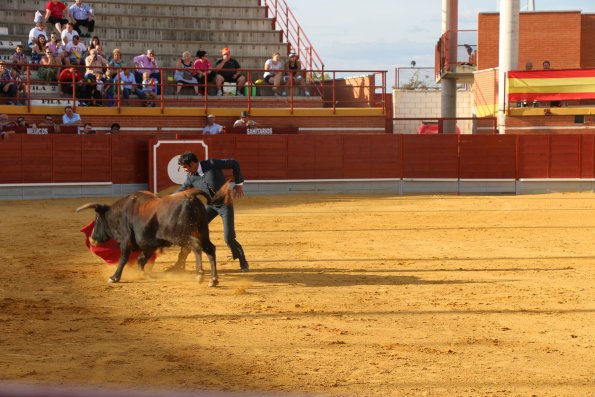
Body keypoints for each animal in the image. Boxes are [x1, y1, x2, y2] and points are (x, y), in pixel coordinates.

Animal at [74, 187, 224, 286]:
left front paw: (114, 277)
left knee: (196, 246)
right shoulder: (150, 243)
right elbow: (141, 259)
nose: (92, 239)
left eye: (97, 219)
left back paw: (200, 276)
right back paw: (213, 280)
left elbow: (124, 258)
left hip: (181, 236)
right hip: (202, 232)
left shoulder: (125, 240)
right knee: (210, 248)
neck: (119, 214)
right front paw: (142, 274)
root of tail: (190, 196)